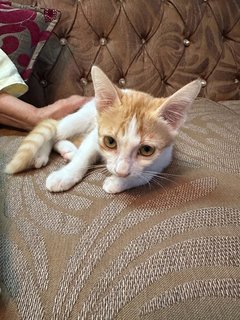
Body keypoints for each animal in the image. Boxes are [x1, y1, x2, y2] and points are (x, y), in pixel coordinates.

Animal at [4, 66, 202, 194]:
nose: (121, 171)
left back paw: (68, 150)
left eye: (147, 150)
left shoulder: (164, 157)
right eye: (110, 141)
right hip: (77, 120)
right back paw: (43, 154)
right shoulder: (96, 136)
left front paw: (118, 182)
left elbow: (146, 175)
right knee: (55, 131)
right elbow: (84, 156)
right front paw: (65, 176)